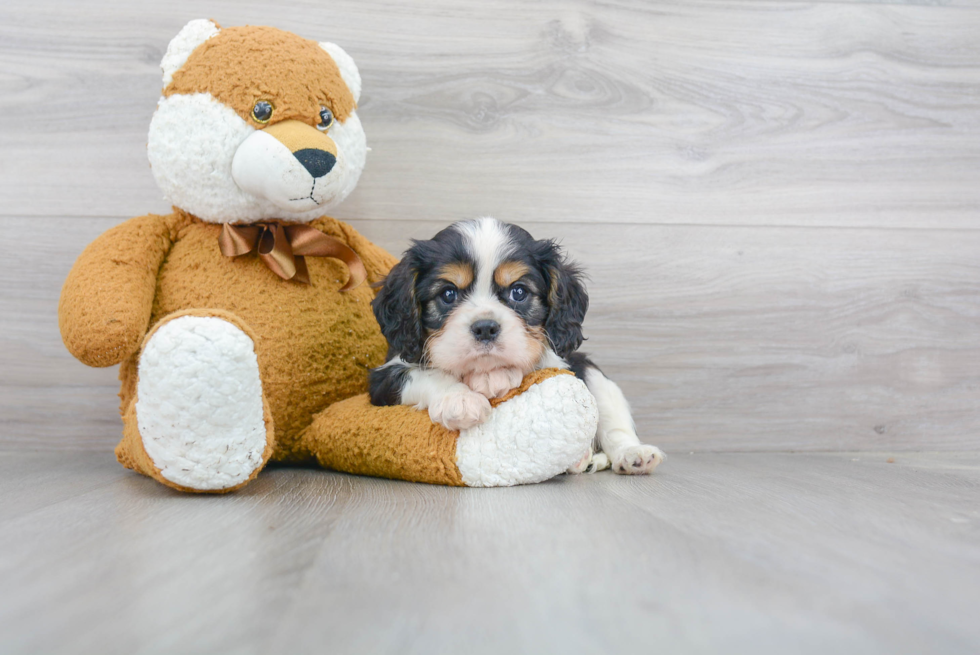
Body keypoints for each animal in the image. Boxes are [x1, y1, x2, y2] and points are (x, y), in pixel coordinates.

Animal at [370, 218, 668, 474]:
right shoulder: (383, 377)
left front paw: (496, 376)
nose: (485, 328)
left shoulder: (562, 362)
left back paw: (632, 455)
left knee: (615, 426)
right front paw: (460, 399)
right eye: (448, 294)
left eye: (519, 292)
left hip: (593, 374)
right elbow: (423, 374)